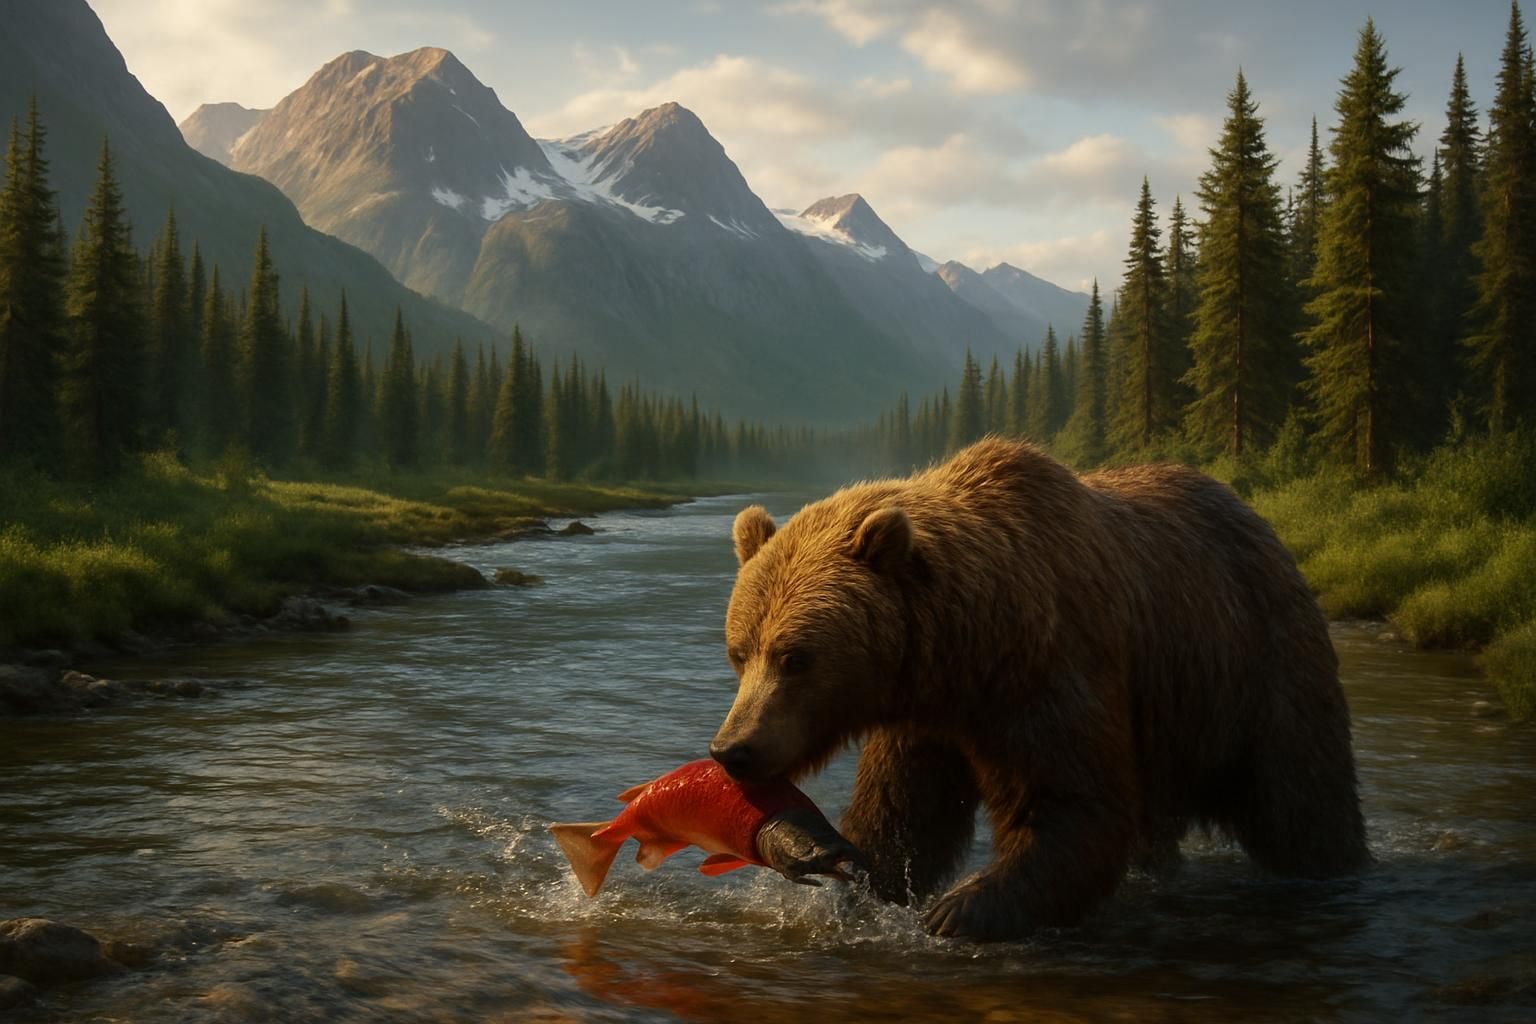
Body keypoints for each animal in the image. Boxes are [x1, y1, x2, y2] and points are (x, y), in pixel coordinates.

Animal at [709, 437, 1368, 941]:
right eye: (740, 652)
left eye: (797, 658)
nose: (732, 749)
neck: (973, 647)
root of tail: (1255, 516)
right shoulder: (926, 716)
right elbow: (902, 814)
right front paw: (856, 887)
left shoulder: (1052, 669)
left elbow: (1071, 802)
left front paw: (961, 908)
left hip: (1256, 663)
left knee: (1300, 795)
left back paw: (1334, 868)